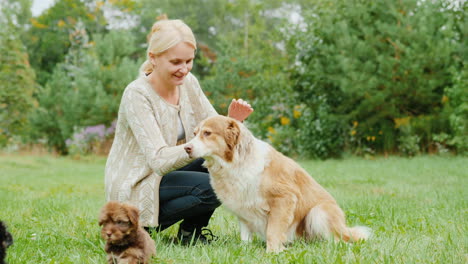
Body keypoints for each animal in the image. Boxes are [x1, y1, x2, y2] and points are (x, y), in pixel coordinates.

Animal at [185, 116, 372, 253]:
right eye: (194, 133)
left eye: (207, 133)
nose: (186, 148)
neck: (235, 162)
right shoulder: (242, 206)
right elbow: (245, 234)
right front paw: (245, 250)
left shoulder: (284, 198)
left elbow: (273, 230)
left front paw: (273, 251)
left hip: (319, 212)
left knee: (340, 241)